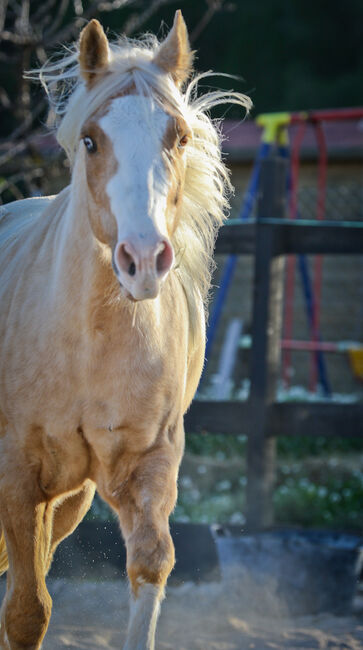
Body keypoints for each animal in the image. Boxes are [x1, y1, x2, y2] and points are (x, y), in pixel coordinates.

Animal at [0, 11, 250, 648]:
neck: (86, 345)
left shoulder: (147, 468)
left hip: (71, 500)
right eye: (90, 140)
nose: (142, 259)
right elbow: (26, 611)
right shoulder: (16, 475)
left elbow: (150, 567)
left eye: (179, 137)